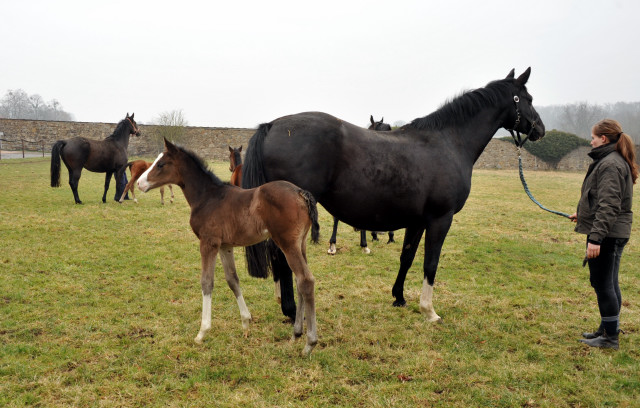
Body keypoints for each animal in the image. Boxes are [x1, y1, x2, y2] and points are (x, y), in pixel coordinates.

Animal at [138, 139, 322, 356]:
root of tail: (301, 193)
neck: (207, 197)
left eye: (161, 164)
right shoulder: (225, 246)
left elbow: (207, 282)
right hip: (300, 244)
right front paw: (246, 323)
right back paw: (296, 333)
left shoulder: (208, 243)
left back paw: (309, 343)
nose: (140, 183)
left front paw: (202, 332)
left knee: (306, 280)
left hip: (287, 243)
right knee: (300, 281)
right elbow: (232, 280)